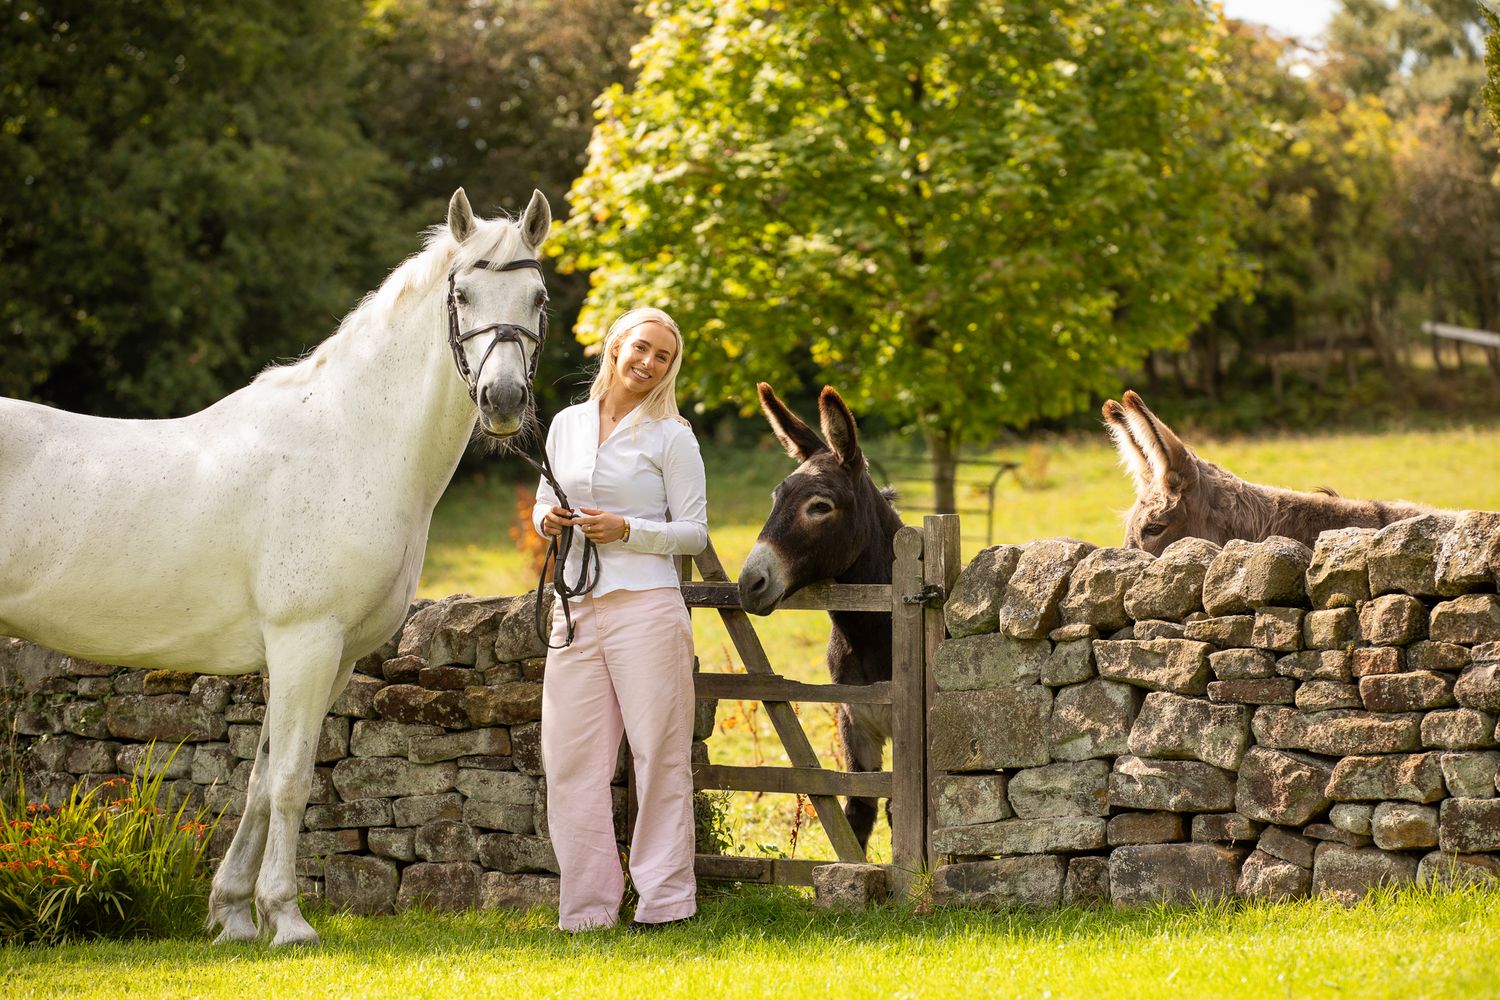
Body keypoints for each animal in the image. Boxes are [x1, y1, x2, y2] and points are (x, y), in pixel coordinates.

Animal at [0, 187, 551, 946]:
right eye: (462, 294)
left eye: (537, 297)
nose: (502, 401)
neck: (348, 440)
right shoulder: (303, 643)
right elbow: (291, 780)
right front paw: (287, 919)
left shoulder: (331, 656)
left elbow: (261, 782)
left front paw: (233, 914)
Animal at [737, 384, 903, 853]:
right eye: (775, 499)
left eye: (820, 507)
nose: (749, 582)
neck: (872, 634)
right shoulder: (854, 721)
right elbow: (860, 807)